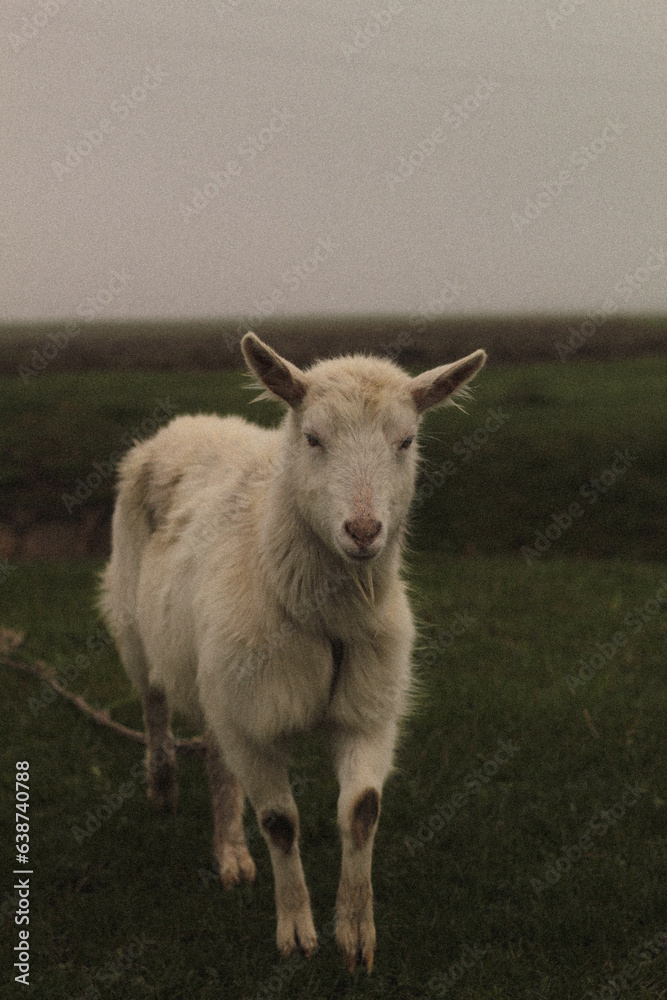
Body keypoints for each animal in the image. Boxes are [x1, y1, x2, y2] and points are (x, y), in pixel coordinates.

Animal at [100, 332, 486, 973]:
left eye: (406, 441)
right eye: (313, 437)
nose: (363, 530)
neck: (321, 617)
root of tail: (187, 423)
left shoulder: (366, 712)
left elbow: (362, 812)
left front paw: (355, 935)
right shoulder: (252, 719)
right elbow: (281, 822)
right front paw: (297, 934)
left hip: (219, 679)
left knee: (215, 755)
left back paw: (231, 851)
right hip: (136, 625)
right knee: (154, 703)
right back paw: (163, 786)